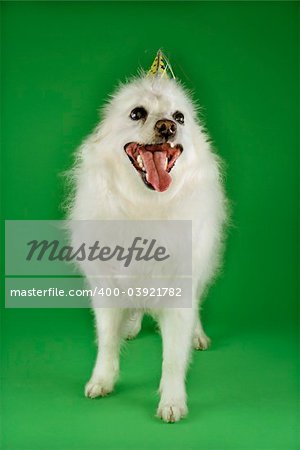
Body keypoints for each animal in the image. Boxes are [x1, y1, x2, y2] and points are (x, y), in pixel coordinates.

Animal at [68, 51, 226, 422]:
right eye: (137, 113)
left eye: (180, 117)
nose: (167, 126)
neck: (145, 205)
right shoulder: (107, 287)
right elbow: (106, 341)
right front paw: (102, 381)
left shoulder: (180, 287)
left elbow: (173, 358)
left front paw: (172, 401)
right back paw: (132, 325)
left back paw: (198, 335)